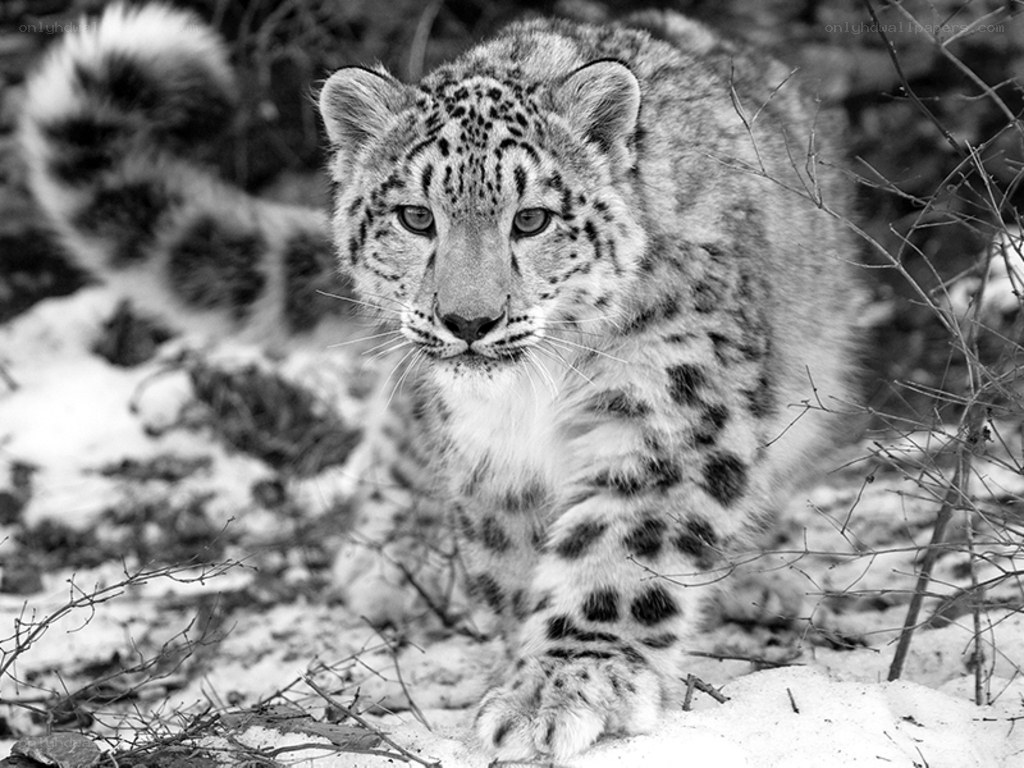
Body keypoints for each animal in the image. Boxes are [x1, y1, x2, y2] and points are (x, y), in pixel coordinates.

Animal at [18, 2, 859, 761]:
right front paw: (523, 670)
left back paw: (761, 580)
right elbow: (512, 562)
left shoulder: (666, 408)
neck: (534, 394)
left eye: (532, 219)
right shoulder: (490, 454)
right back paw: (389, 559)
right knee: (398, 430)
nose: (469, 320)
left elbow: (620, 549)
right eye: (416, 217)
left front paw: (564, 686)